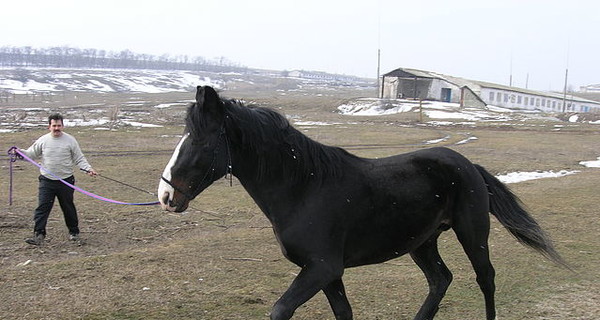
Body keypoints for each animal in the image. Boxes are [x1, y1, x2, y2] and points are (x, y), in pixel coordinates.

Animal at [157, 85, 564, 320]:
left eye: (198, 139)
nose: (165, 196)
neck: (304, 189)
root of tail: (467, 165)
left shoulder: (321, 268)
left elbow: (281, 310)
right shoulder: (328, 272)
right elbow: (344, 313)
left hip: (473, 234)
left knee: (485, 279)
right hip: (422, 242)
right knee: (440, 280)